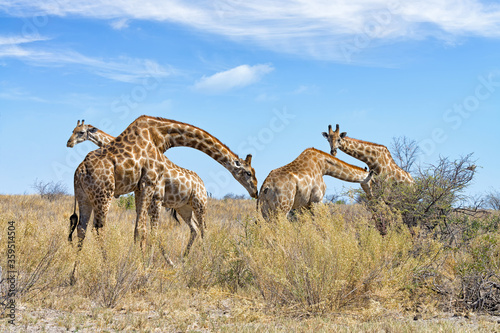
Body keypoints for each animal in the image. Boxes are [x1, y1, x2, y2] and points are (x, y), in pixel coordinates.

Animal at [66, 120, 207, 256]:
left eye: (81, 132)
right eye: (73, 130)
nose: (69, 143)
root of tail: (203, 184)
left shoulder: (156, 198)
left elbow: (150, 230)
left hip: (199, 205)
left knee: (203, 228)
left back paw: (205, 255)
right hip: (184, 208)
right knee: (194, 228)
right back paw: (185, 256)